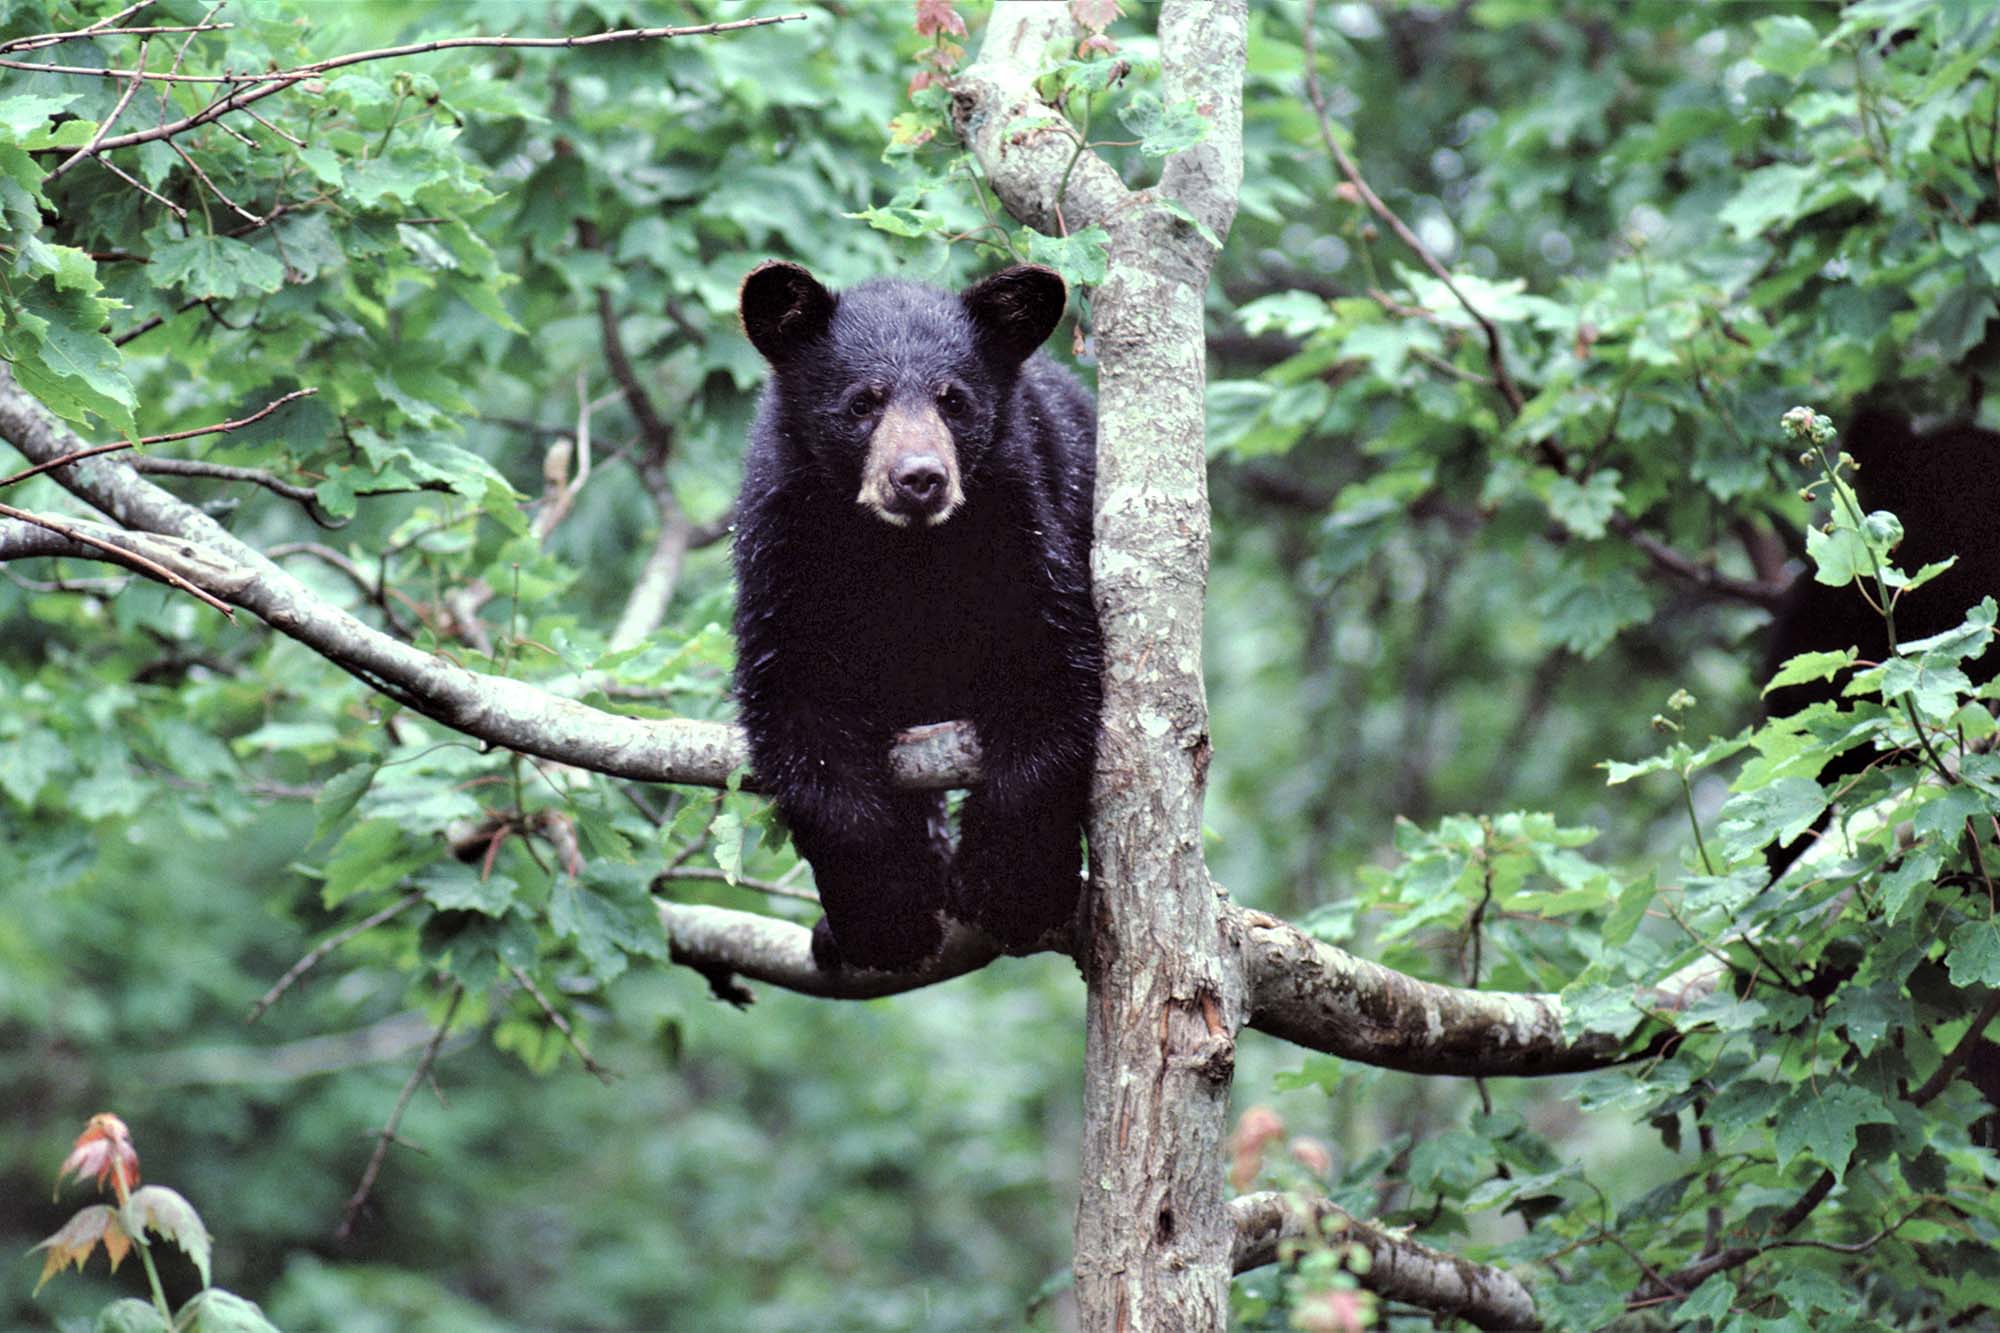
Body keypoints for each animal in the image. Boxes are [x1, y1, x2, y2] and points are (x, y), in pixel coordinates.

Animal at [731, 261, 1102, 971]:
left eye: (954, 401)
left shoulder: (1022, 525)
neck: (905, 553)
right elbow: (802, 716)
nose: (920, 478)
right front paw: (889, 913)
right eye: (862, 403)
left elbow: (1050, 673)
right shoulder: (786, 549)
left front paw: (1012, 886)